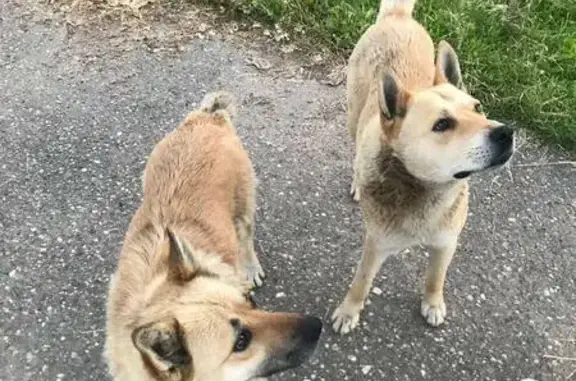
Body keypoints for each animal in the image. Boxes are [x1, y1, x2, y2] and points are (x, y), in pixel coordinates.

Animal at [105, 90, 322, 378]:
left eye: (250, 300)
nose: (318, 324)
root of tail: (207, 118)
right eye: (241, 341)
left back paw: (250, 267)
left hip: (243, 210)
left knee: (246, 240)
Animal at [330, 0, 516, 332]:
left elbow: (435, 278)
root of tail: (398, 16)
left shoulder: (446, 243)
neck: (426, 189)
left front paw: (432, 303)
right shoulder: (375, 245)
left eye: (478, 108)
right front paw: (349, 310)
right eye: (442, 125)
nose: (506, 133)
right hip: (354, 116)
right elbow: (361, 283)